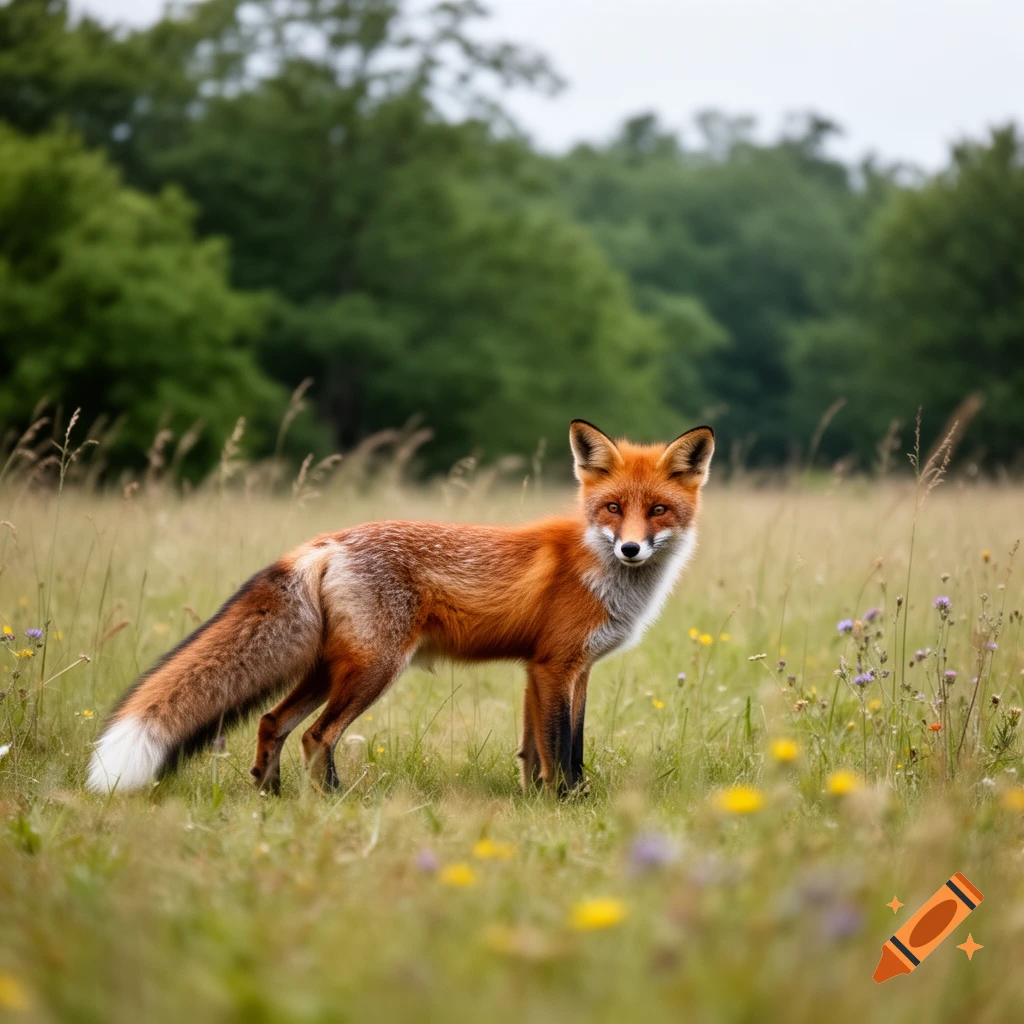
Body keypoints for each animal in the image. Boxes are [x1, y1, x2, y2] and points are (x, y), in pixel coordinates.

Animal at [87, 419, 714, 796]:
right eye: (613, 508)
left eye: (658, 510)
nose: (631, 549)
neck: (599, 569)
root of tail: (328, 541)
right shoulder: (555, 666)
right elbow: (560, 747)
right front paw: (566, 803)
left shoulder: (557, 670)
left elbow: (544, 748)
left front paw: (545, 799)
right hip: (374, 669)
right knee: (317, 735)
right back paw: (332, 801)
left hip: (329, 668)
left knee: (271, 722)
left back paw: (271, 796)